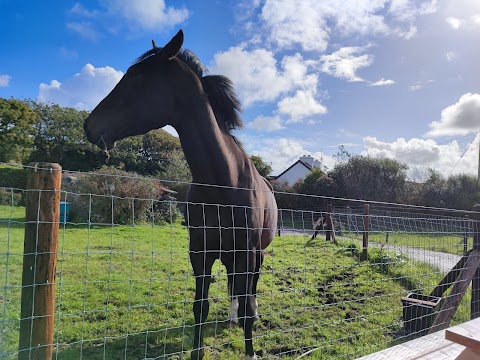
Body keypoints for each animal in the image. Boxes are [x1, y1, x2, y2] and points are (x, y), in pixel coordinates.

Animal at [82, 29, 278, 358]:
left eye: (134, 76)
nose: (89, 125)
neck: (222, 183)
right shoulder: (199, 253)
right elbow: (201, 307)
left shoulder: (247, 253)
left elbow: (248, 303)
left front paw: (250, 350)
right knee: (234, 288)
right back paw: (231, 317)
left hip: (256, 254)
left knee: (250, 288)